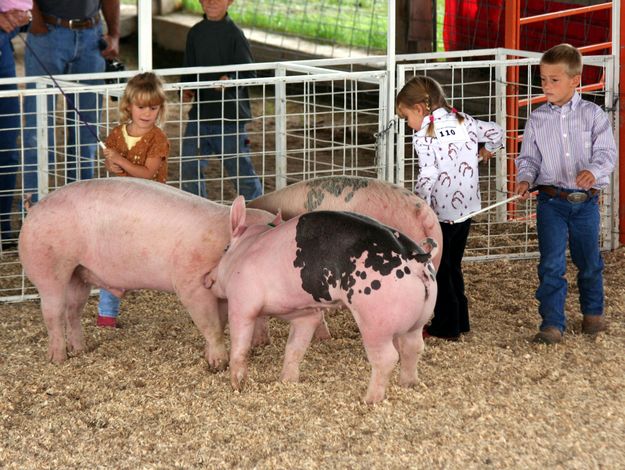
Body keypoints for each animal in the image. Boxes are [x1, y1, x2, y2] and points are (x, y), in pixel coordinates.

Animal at [18, 178, 272, 366]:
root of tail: (34, 208)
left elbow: (221, 322)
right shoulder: (190, 284)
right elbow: (211, 325)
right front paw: (218, 364)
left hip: (78, 273)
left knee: (73, 311)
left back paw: (81, 350)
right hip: (47, 266)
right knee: (53, 312)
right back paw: (59, 359)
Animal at [207, 195, 436, 404]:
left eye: (225, 249)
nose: (206, 278)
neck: (244, 251)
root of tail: (416, 260)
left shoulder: (242, 300)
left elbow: (240, 345)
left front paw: (237, 385)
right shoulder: (306, 313)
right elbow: (294, 348)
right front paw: (287, 381)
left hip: (376, 321)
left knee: (387, 358)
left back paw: (368, 400)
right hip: (418, 319)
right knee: (413, 347)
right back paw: (408, 384)